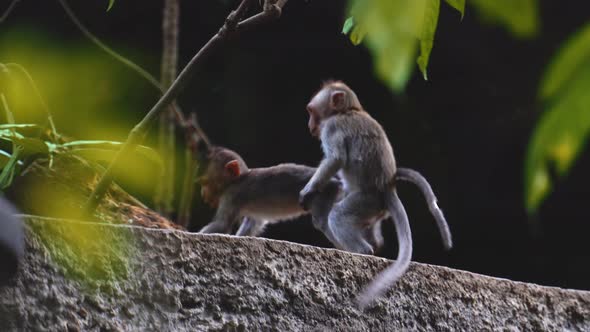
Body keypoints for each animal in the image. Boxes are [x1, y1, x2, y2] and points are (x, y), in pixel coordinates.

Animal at [300, 80, 454, 308]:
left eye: (311, 111)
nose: (310, 126)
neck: (351, 110)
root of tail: (387, 188)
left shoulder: (332, 127)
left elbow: (335, 159)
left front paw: (309, 189)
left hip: (366, 202)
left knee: (338, 215)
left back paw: (361, 251)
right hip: (372, 211)